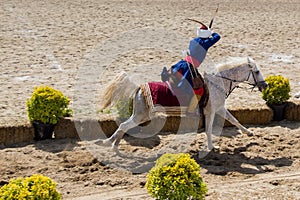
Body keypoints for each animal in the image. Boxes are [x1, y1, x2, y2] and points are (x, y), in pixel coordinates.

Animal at [98, 57, 268, 151]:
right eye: (257, 72)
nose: (265, 85)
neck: (217, 82)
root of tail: (139, 87)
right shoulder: (211, 111)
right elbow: (209, 130)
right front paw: (212, 147)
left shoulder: (220, 108)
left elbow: (234, 120)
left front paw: (249, 133)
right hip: (141, 116)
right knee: (123, 126)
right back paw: (110, 144)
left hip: (140, 115)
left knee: (123, 126)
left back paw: (112, 143)